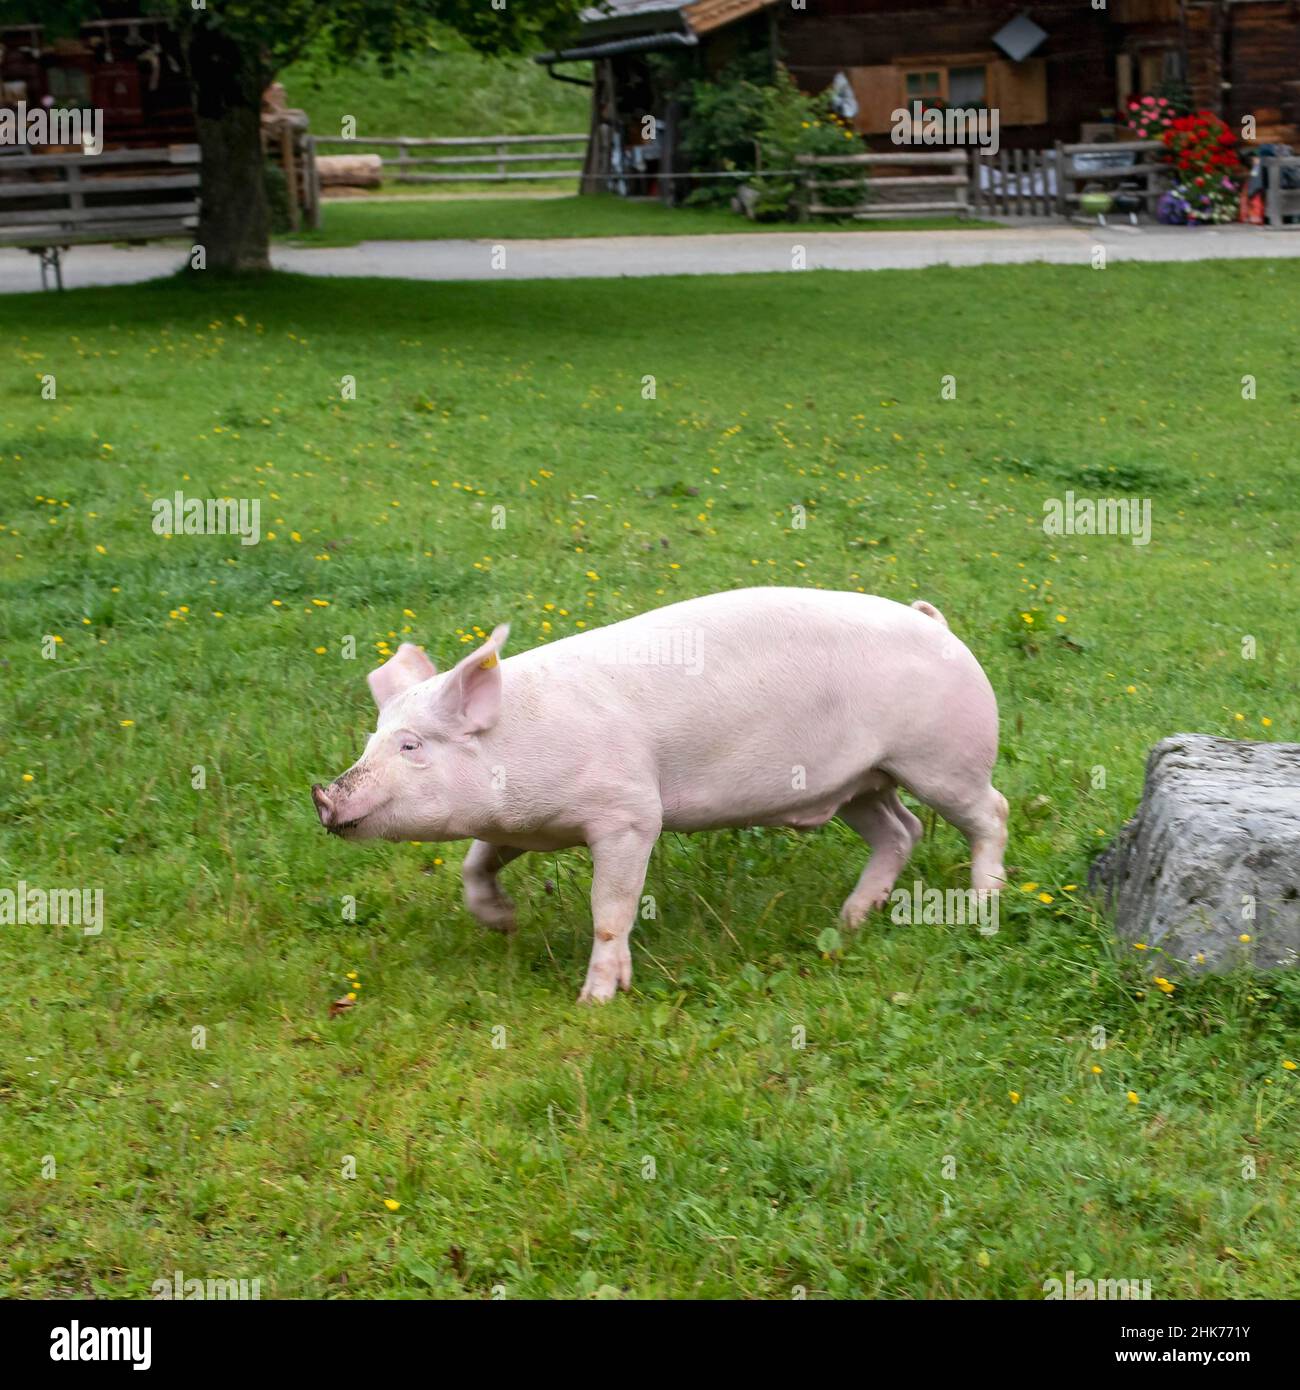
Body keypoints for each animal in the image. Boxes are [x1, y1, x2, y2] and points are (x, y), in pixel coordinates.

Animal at [311, 587, 1008, 1003]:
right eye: (371, 741)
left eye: (411, 746)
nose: (323, 794)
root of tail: (936, 624)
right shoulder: (525, 824)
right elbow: (474, 863)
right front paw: (505, 924)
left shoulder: (629, 815)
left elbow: (611, 910)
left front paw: (596, 1000)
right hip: (860, 783)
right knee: (901, 831)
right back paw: (848, 921)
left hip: (942, 760)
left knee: (990, 814)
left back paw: (978, 908)